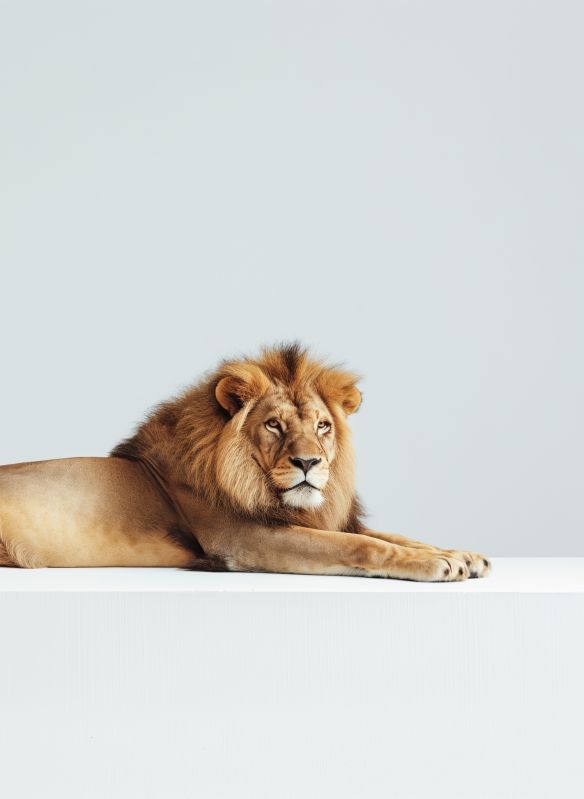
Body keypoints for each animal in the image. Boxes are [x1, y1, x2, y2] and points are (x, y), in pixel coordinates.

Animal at [0, 343, 490, 580]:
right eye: (273, 425)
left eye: (322, 426)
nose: (308, 462)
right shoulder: (243, 539)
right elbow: (357, 545)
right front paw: (438, 565)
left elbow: (393, 535)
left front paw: (462, 555)